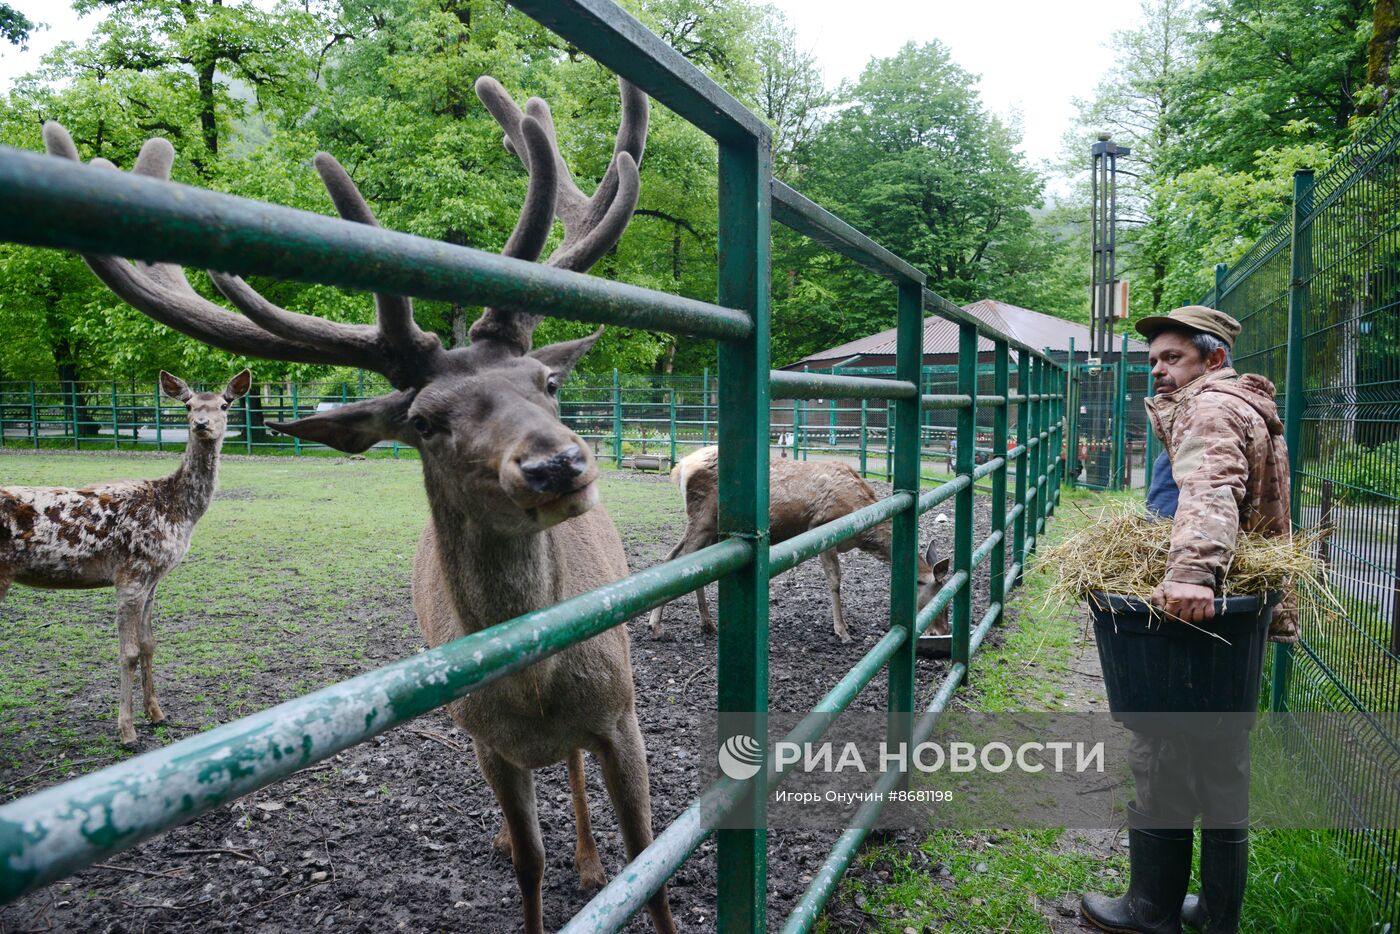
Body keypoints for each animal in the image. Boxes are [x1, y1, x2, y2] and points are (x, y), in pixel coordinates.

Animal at [1, 369, 252, 744]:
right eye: (188, 405)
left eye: (225, 404)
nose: (202, 424)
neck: (176, 512)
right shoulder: (131, 572)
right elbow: (128, 652)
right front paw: (127, 730)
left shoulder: (153, 577)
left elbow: (149, 644)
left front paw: (157, 714)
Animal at [43, 71, 677, 934]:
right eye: (424, 421)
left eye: (545, 383)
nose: (557, 466)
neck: (536, 691)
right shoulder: (483, 737)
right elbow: (530, 868)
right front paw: (527, 861)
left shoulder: (622, 714)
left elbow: (650, 858)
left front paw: (613, 871)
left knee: (574, 773)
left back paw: (588, 857)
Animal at [649, 448, 957, 644]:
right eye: (941, 602)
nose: (941, 631)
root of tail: (680, 468)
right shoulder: (823, 526)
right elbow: (835, 581)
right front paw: (842, 631)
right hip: (703, 519)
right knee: (678, 561)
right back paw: (656, 626)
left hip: (711, 528)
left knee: (679, 559)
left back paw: (707, 623)